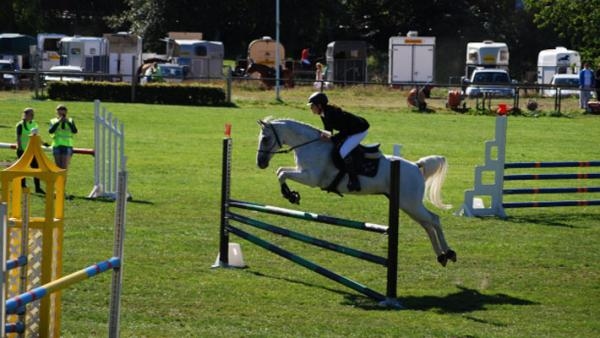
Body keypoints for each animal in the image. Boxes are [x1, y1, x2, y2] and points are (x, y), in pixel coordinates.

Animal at [255, 117, 458, 266]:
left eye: (265, 138)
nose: (260, 163)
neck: (310, 145)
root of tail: (416, 166)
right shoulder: (302, 172)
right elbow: (280, 171)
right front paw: (291, 195)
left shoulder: (311, 178)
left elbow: (282, 173)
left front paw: (291, 196)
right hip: (406, 204)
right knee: (427, 224)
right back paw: (441, 256)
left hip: (410, 203)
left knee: (434, 220)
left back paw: (449, 253)